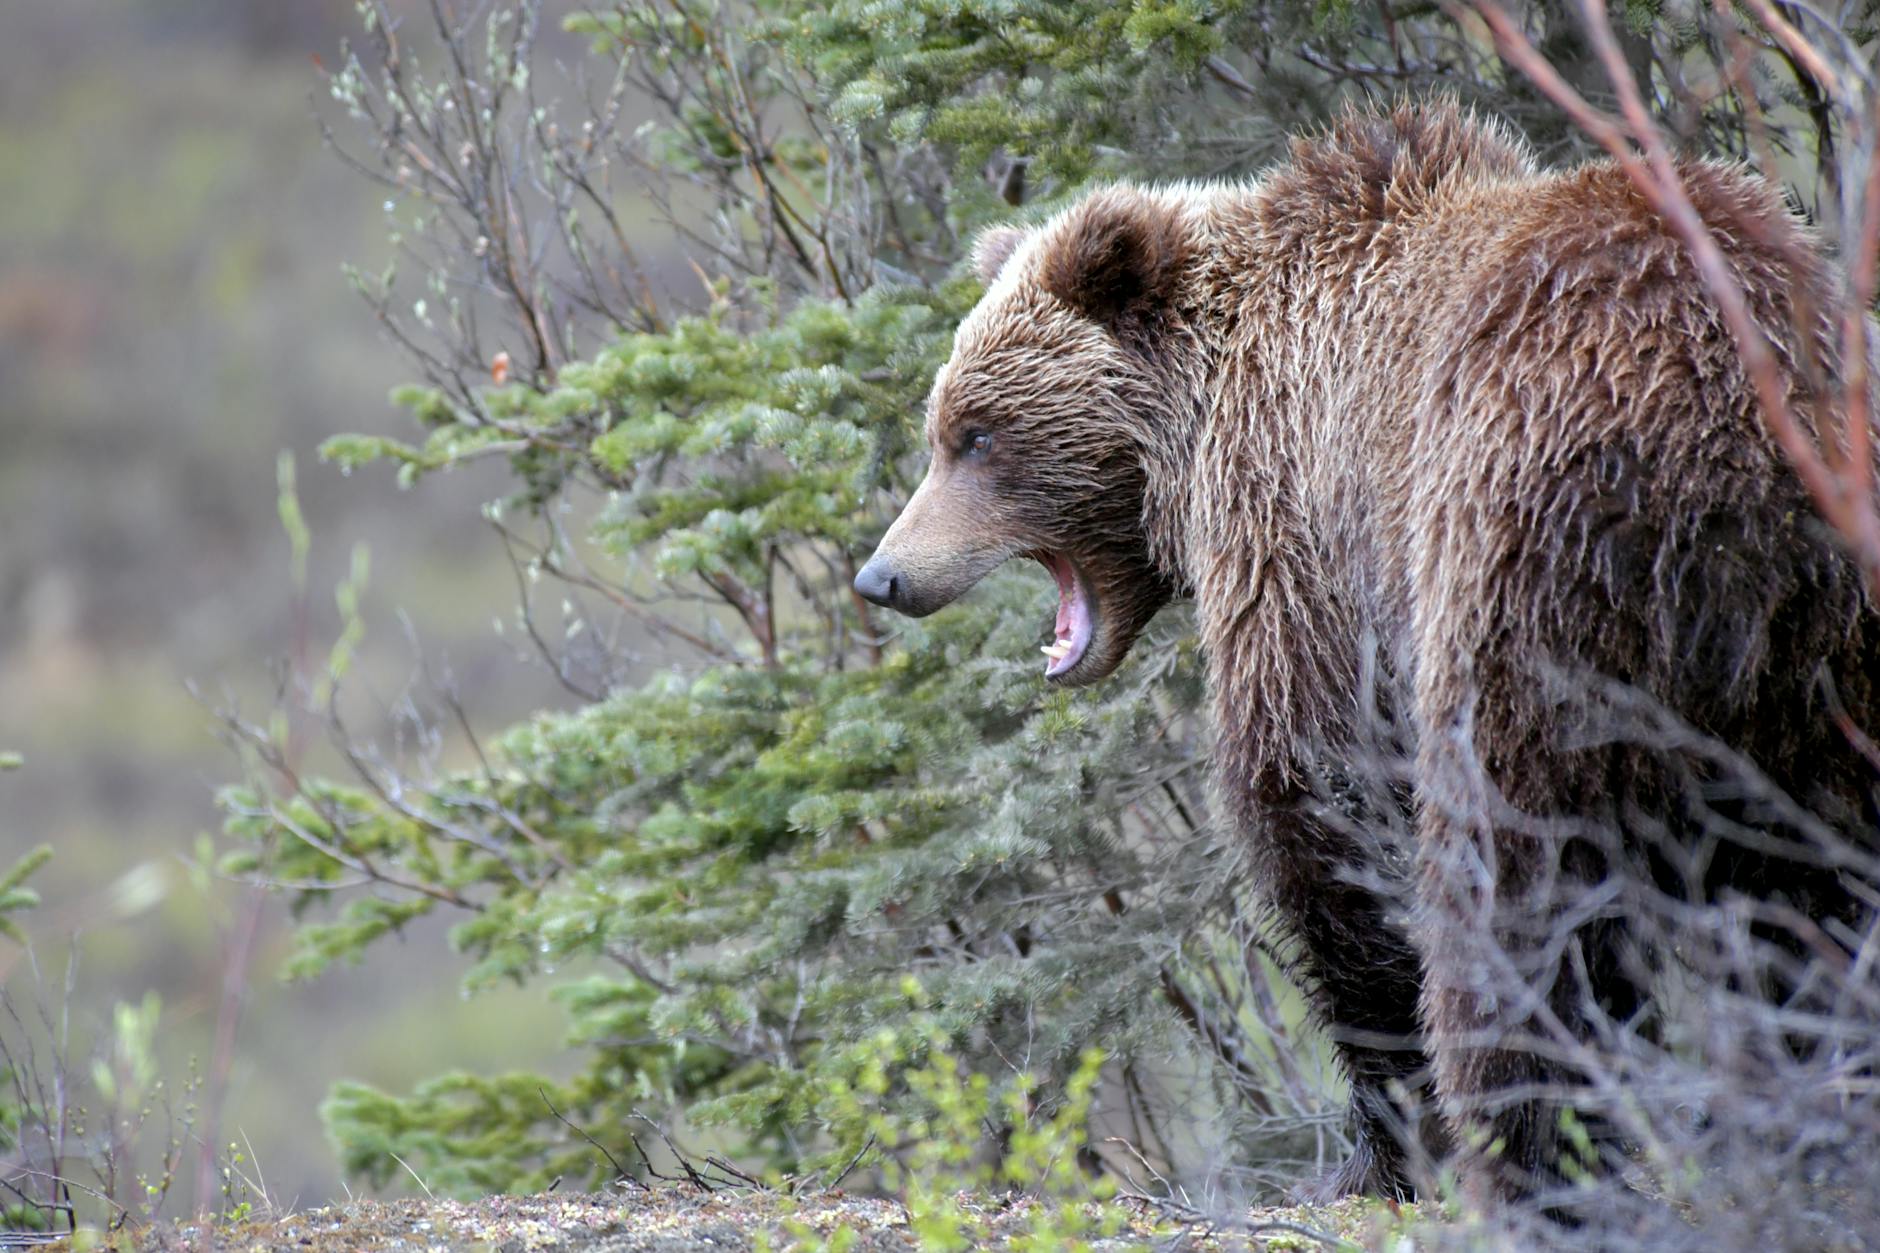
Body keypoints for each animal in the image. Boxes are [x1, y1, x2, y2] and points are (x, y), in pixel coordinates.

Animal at [853, 100, 1880, 1208]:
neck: (1202, 416)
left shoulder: (1300, 527)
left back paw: (1528, 1153)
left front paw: (1377, 1143)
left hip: (1526, 558)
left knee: (1518, 867)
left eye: (977, 435)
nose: (883, 575)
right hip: (1819, 647)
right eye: (943, 426)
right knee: (1822, 880)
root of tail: (1731, 418)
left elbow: (1311, 789)